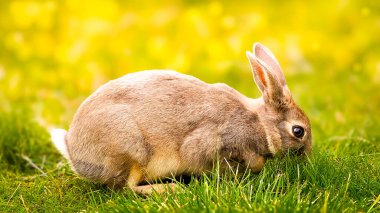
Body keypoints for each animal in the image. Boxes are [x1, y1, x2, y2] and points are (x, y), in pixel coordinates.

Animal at [50, 42, 312, 195]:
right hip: (132, 149)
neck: (258, 122)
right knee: (128, 188)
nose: (307, 157)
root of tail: (75, 154)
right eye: (298, 131)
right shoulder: (212, 142)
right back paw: (171, 188)